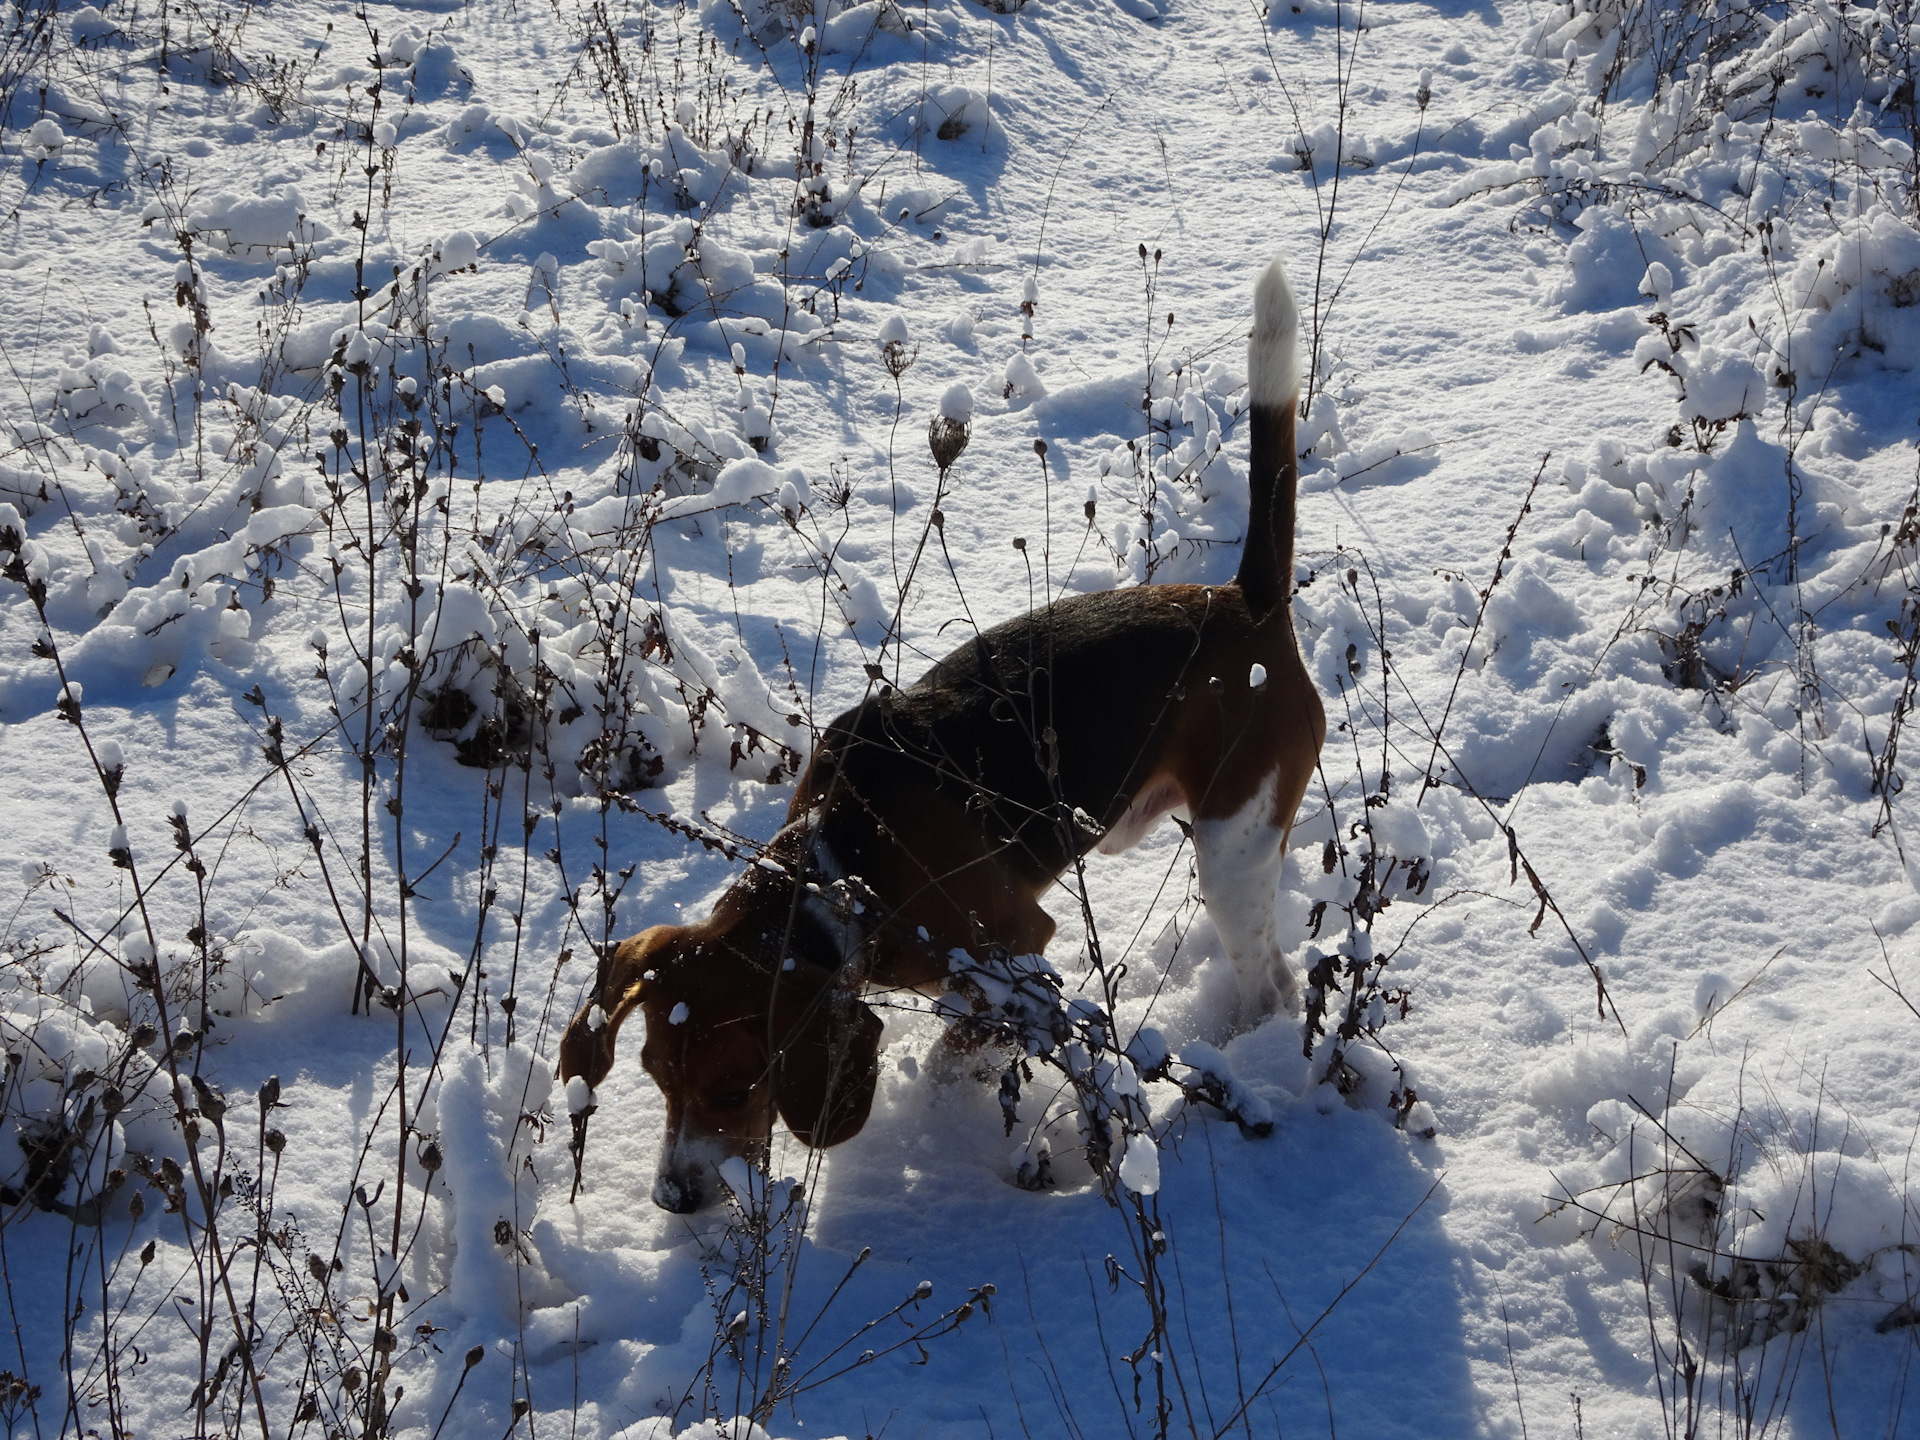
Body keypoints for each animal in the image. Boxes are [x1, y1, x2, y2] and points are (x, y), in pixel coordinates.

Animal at [560, 253, 1328, 1213]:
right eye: (657, 1081)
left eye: (737, 1090)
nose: (675, 1197)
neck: (847, 861)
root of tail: (1244, 603)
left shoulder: (1021, 948)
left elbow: (962, 1043)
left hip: (1231, 844)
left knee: (1270, 978)